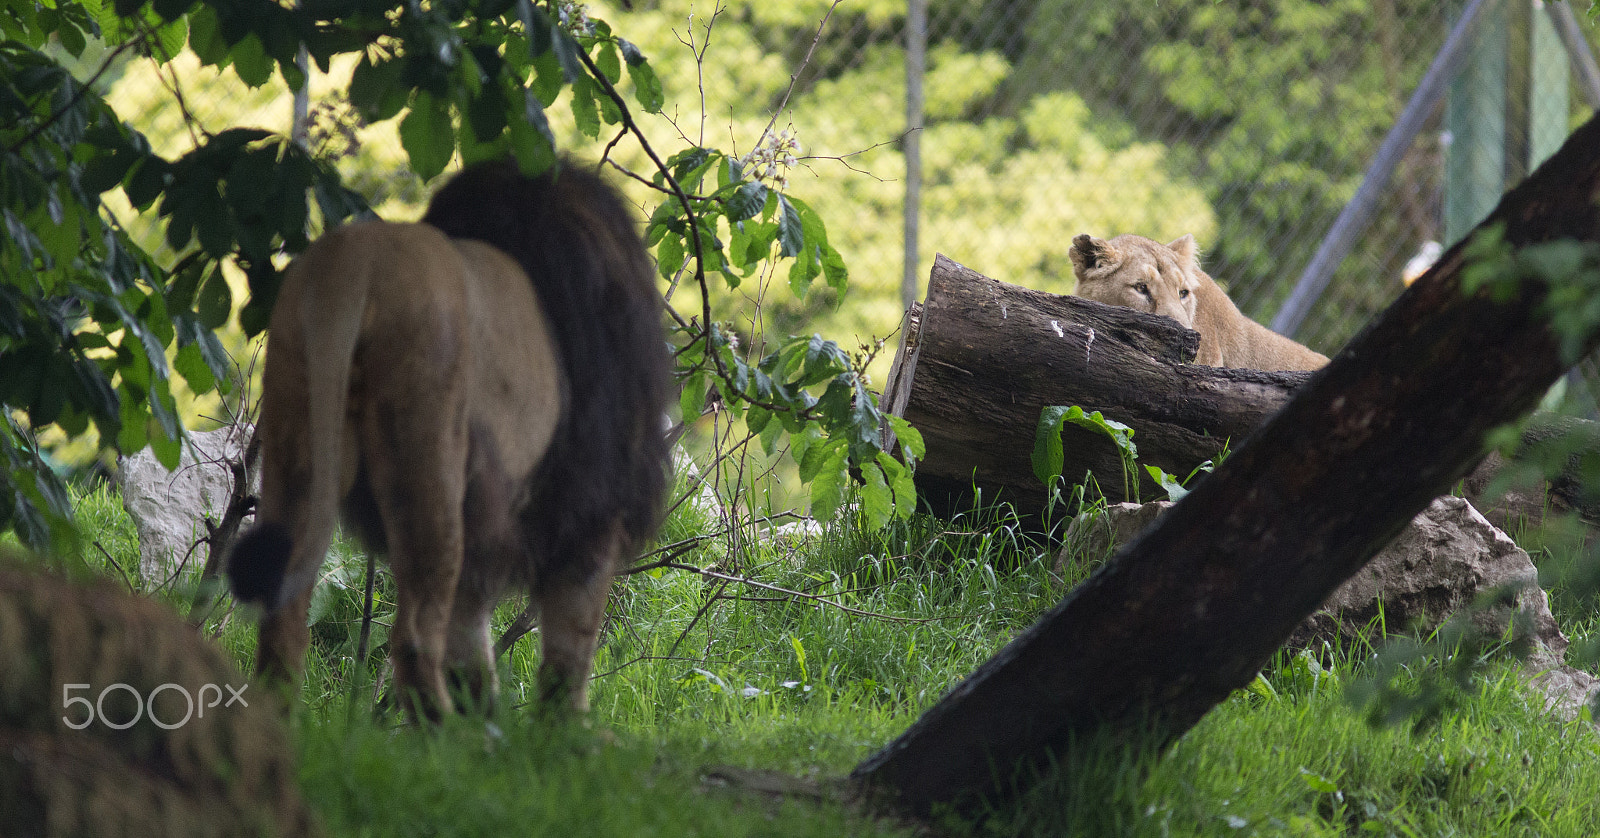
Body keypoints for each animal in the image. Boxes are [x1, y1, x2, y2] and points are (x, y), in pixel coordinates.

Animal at [227, 159, 671, 721]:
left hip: (296, 428)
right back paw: (450, 734)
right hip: (426, 459)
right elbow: (570, 643)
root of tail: (355, 266)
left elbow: (471, 642)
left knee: (283, 622)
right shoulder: (587, 505)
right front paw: (564, 731)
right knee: (414, 636)